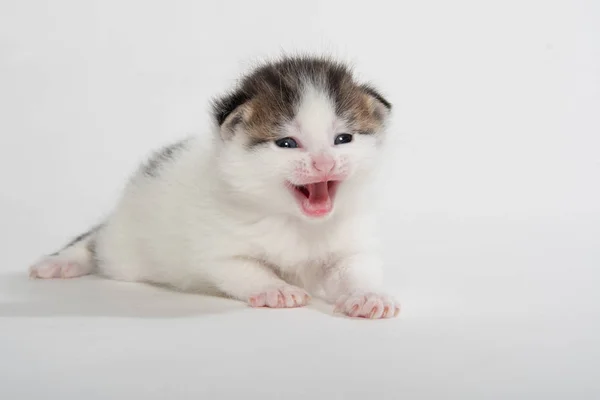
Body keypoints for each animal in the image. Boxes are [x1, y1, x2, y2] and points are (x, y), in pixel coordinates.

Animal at [30, 56, 400, 318]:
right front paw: (275, 289)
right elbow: (246, 269)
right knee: (95, 241)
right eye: (286, 143)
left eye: (343, 139)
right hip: (124, 249)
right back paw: (60, 263)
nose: (324, 164)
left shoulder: (352, 245)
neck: (297, 223)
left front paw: (369, 296)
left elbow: (357, 269)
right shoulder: (218, 252)